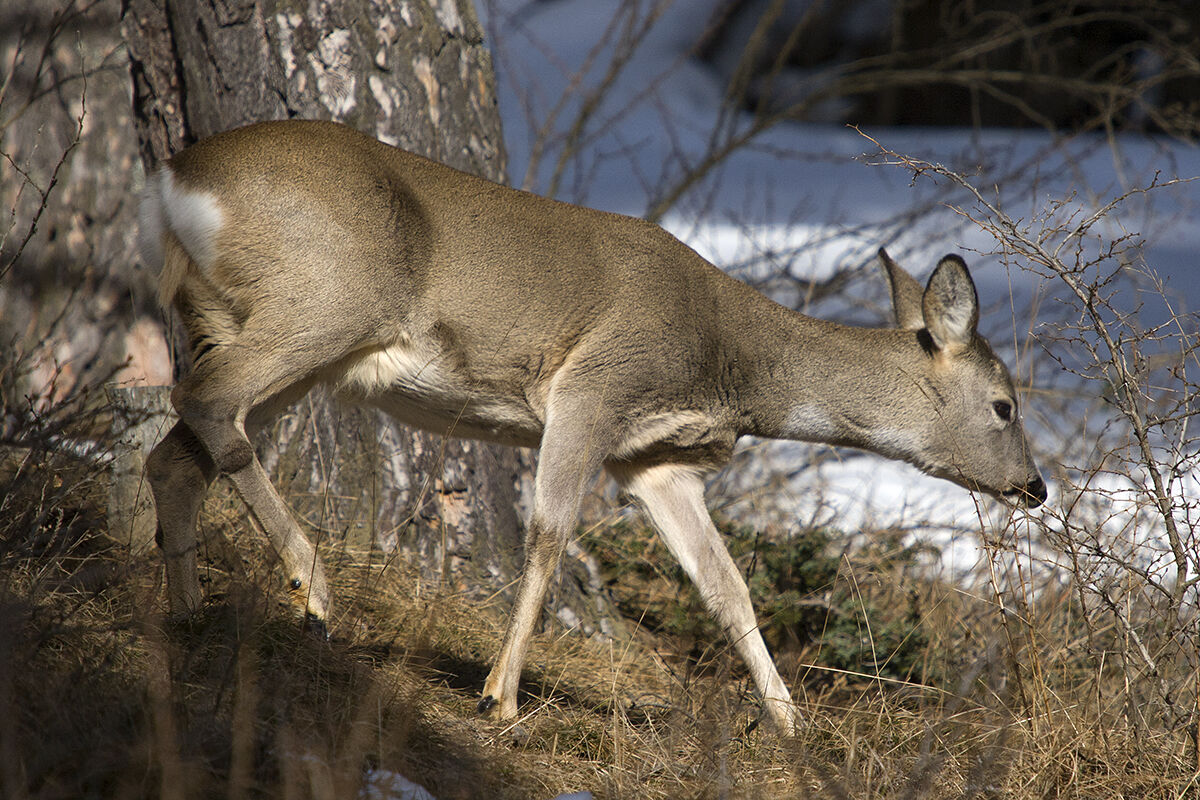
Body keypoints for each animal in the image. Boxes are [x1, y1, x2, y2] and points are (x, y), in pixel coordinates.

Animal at [138, 119, 1046, 735]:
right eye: (1006, 406)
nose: (1035, 487)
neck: (733, 364)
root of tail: (179, 178)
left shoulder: (656, 460)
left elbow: (727, 588)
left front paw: (791, 726)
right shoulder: (594, 387)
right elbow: (549, 532)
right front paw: (500, 696)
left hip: (277, 334)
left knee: (177, 452)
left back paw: (186, 612)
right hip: (324, 300)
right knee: (207, 404)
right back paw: (311, 590)